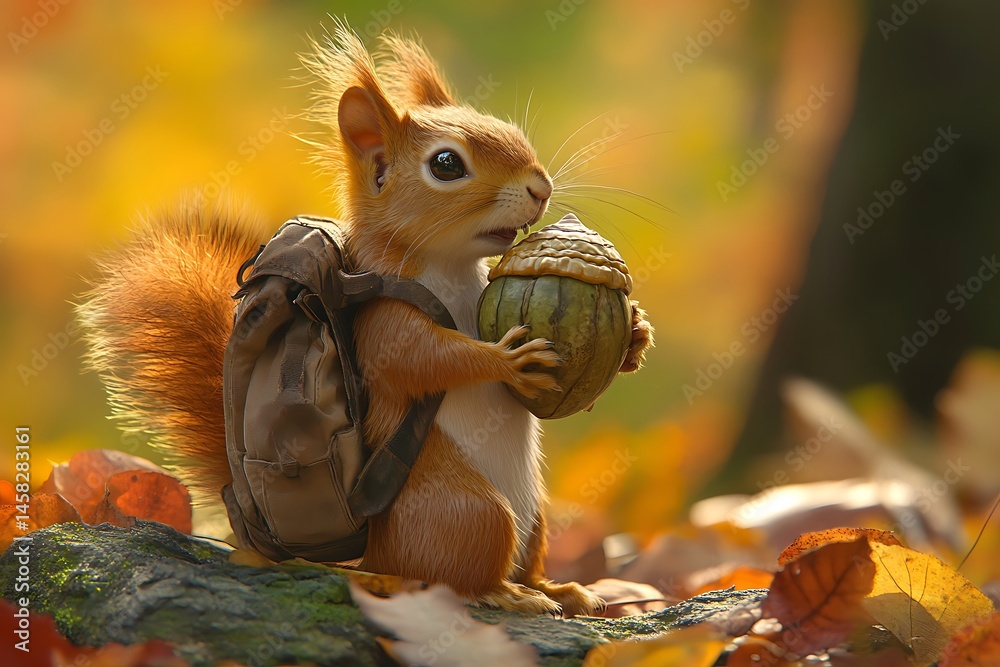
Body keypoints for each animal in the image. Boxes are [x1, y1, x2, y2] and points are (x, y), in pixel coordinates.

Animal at [78, 24, 653, 616]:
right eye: (447, 165)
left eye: (511, 130)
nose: (541, 188)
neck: (451, 269)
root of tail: (374, 553)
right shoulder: (384, 318)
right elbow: (421, 359)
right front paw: (506, 360)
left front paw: (635, 332)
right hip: (466, 510)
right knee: (447, 577)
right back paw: (506, 594)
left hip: (535, 517)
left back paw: (557, 588)